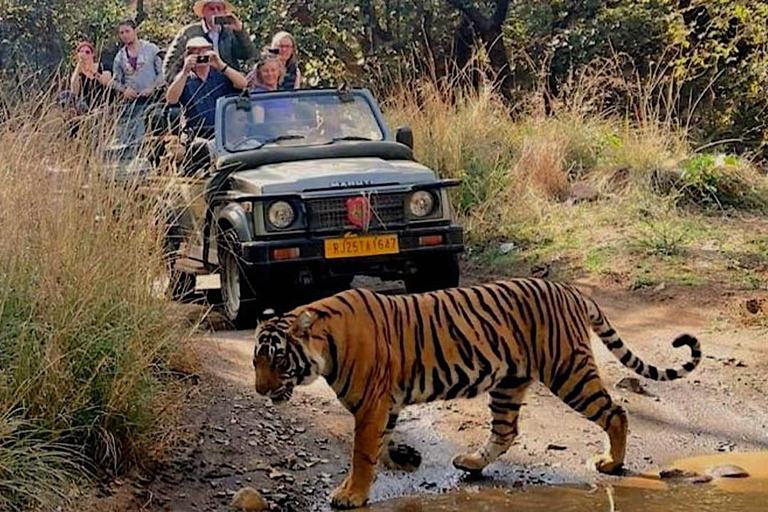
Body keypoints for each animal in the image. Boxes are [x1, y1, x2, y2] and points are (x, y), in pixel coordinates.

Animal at [252, 278, 702, 509]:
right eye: (256, 362)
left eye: (277, 359)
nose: (260, 390)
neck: (325, 347)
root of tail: (570, 290)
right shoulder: (384, 404)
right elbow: (379, 444)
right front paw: (400, 460)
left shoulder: (372, 404)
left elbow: (362, 453)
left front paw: (351, 494)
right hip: (509, 383)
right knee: (506, 431)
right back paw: (470, 463)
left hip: (568, 371)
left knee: (616, 411)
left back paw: (612, 463)